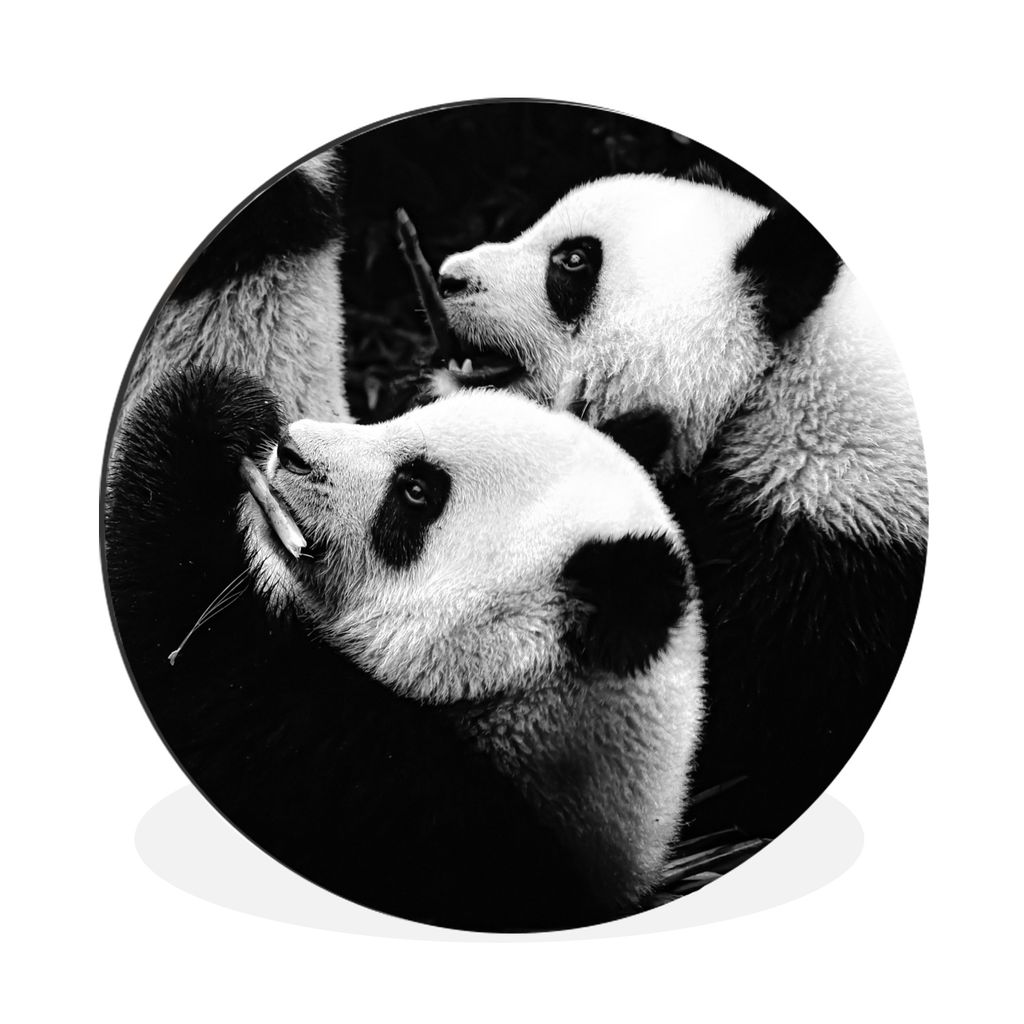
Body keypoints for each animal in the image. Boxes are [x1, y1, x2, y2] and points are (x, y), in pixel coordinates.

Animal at [105, 364, 704, 931]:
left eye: (417, 492)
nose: (290, 448)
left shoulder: (412, 818)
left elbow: (210, 674)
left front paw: (199, 424)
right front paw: (237, 409)